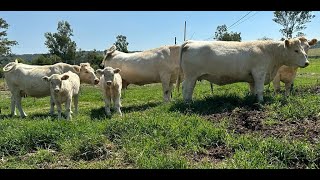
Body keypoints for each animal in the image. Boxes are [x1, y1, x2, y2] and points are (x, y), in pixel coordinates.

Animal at [178, 38, 310, 102]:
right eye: (296, 50)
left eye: (304, 49)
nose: (307, 63)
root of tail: (190, 42)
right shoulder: (259, 73)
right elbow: (260, 90)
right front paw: (261, 102)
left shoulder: (252, 78)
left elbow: (253, 90)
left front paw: (253, 99)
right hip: (191, 76)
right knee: (187, 87)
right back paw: (188, 102)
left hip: (192, 76)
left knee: (188, 88)